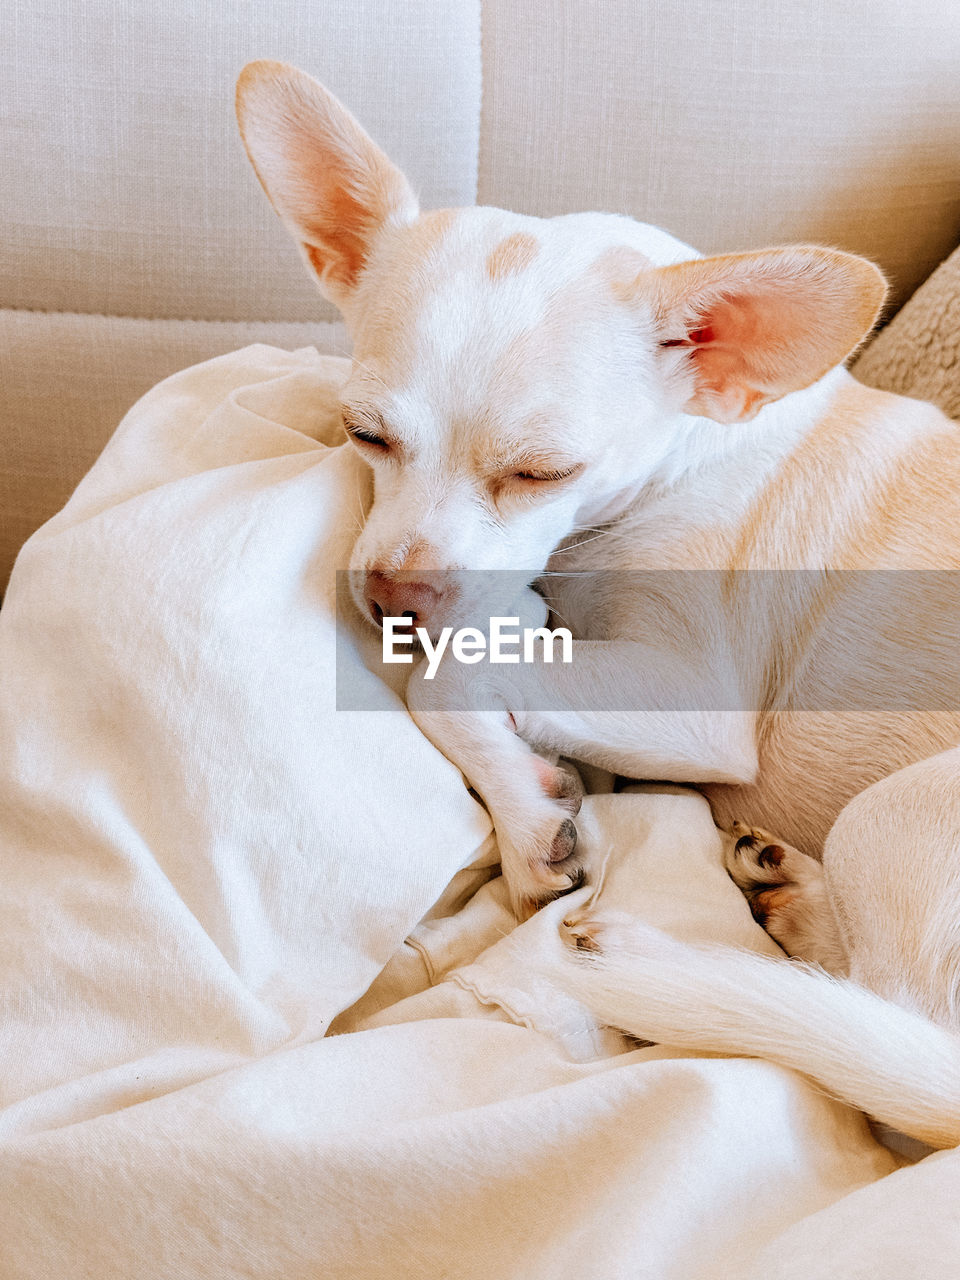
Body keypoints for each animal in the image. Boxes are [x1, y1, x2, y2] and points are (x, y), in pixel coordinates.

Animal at [236, 60, 960, 1146]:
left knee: (888, 1036)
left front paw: (530, 826)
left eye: (543, 472)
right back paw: (783, 887)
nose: (392, 594)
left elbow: (444, 679)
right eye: (364, 433)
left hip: (898, 811)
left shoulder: (696, 700)